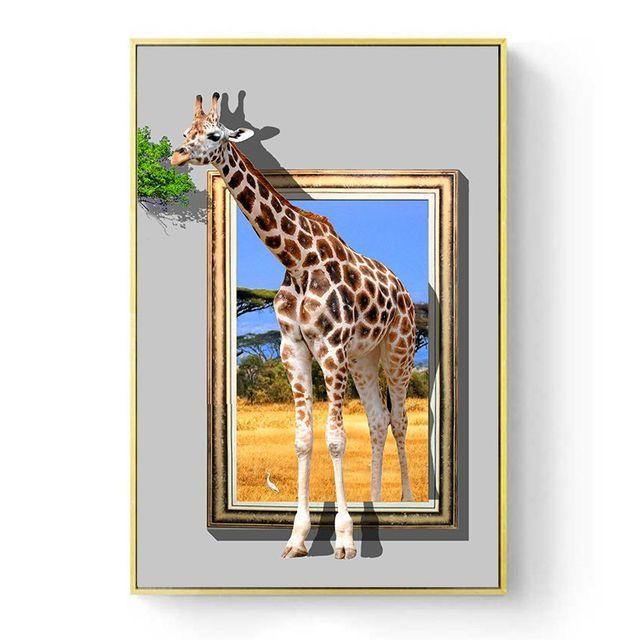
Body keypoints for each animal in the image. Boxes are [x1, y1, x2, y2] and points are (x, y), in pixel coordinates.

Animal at [172, 94, 416, 559]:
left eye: (213, 135)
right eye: (184, 132)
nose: (175, 155)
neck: (297, 260)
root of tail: (406, 293)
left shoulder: (331, 349)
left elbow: (335, 438)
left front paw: (344, 538)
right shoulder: (293, 349)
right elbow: (303, 439)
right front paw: (298, 536)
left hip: (398, 351)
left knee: (398, 420)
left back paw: (407, 501)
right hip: (364, 358)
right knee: (378, 421)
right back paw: (375, 500)